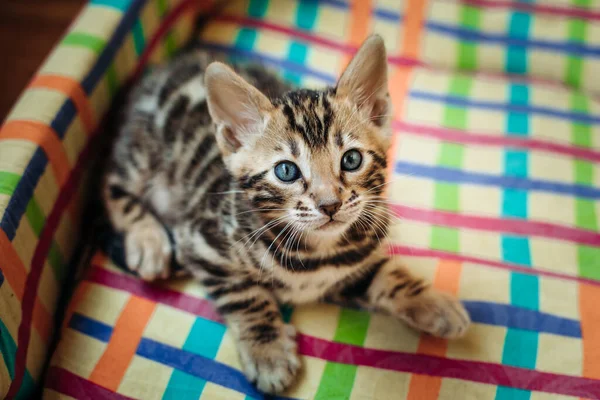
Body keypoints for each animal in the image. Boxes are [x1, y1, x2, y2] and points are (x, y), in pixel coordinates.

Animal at [102, 36, 468, 396]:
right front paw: (269, 353)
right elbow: (245, 297)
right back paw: (149, 242)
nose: (330, 204)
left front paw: (432, 302)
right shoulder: (201, 241)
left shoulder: (353, 259)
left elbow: (385, 273)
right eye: (286, 171)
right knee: (111, 186)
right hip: (140, 156)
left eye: (351, 160)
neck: (319, 251)